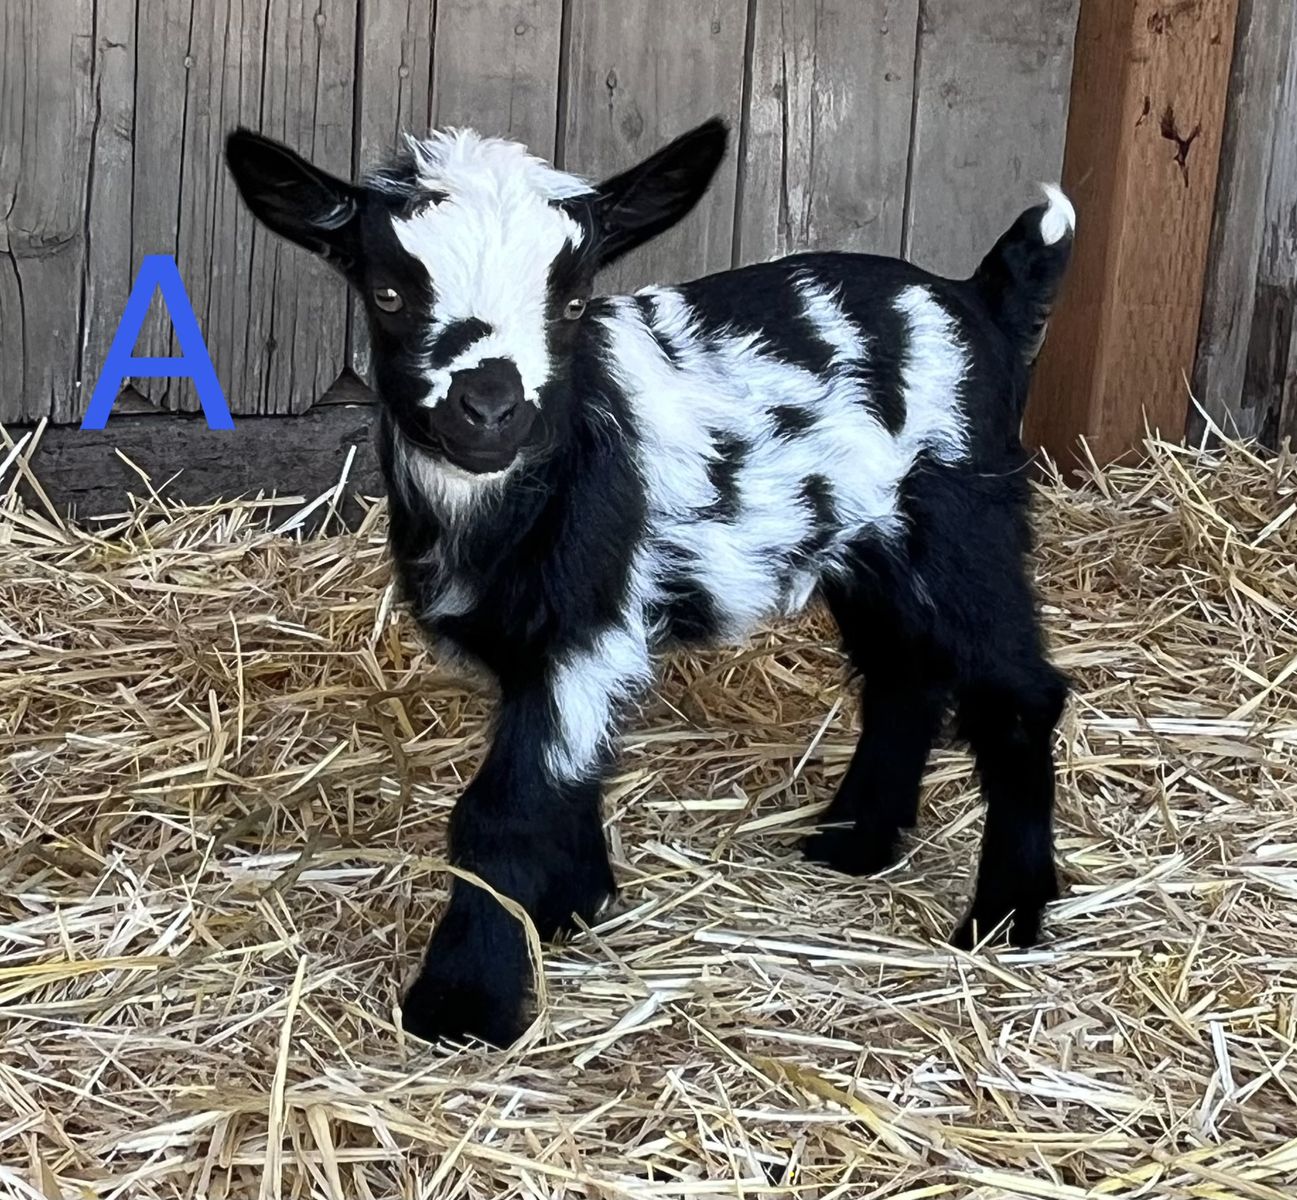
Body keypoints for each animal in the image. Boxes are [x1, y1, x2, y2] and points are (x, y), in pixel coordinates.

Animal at [226, 117, 1074, 1048]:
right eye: (387, 295)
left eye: (569, 304)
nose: (489, 411)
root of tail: (976, 300)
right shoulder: (539, 644)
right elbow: (568, 773)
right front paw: (571, 905)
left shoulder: (588, 626)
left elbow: (506, 809)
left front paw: (465, 999)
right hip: (870, 546)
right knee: (904, 673)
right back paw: (854, 842)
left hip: (964, 520)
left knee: (1016, 693)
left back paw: (1005, 914)